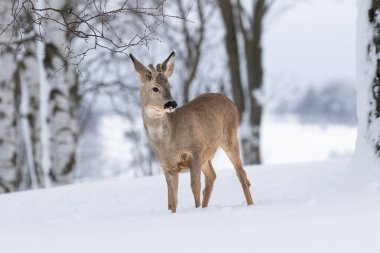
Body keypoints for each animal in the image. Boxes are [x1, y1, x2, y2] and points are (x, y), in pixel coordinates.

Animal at [130, 51, 252, 211]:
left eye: (169, 85)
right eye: (155, 88)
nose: (172, 103)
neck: (168, 142)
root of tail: (231, 102)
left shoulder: (195, 150)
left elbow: (194, 187)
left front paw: (196, 210)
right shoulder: (167, 165)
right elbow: (172, 200)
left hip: (229, 137)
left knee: (240, 172)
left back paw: (250, 204)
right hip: (207, 152)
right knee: (212, 176)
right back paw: (206, 207)